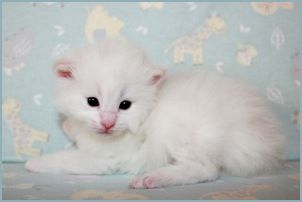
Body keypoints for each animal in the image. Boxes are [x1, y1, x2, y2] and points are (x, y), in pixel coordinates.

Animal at [24, 37, 284, 189]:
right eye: (92, 102)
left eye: (125, 105)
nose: (108, 123)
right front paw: (69, 126)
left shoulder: (109, 157)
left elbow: (69, 159)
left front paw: (35, 163)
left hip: (182, 132)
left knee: (206, 170)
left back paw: (154, 178)